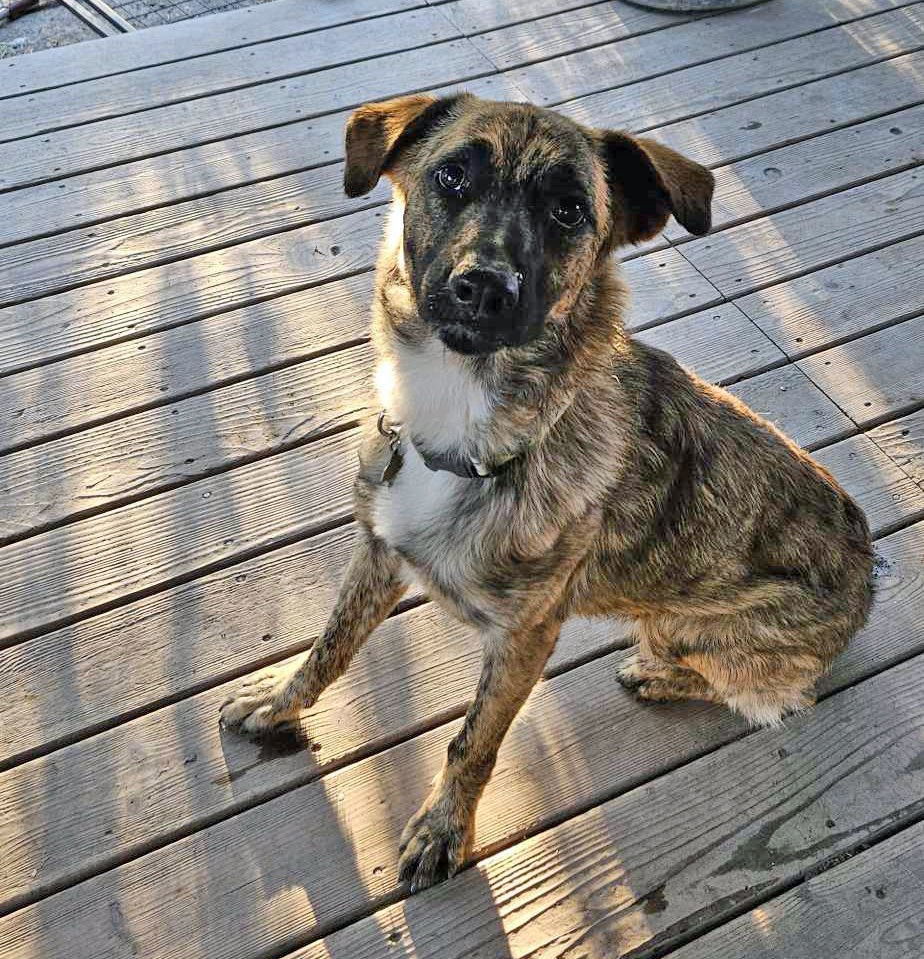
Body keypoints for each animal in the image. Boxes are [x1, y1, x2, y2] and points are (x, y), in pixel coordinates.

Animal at [220, 92, 876, 892]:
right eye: (452, 175)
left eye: (569, 211)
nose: (484, 286)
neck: (464, 424)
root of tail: (872, 567)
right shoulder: (377, 551)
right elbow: (330, 645)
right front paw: (279, 703)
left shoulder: (524, 637)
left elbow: (471, 741)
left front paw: (445, 829)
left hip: (691, 629)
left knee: (778, 694)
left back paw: (659, 675)